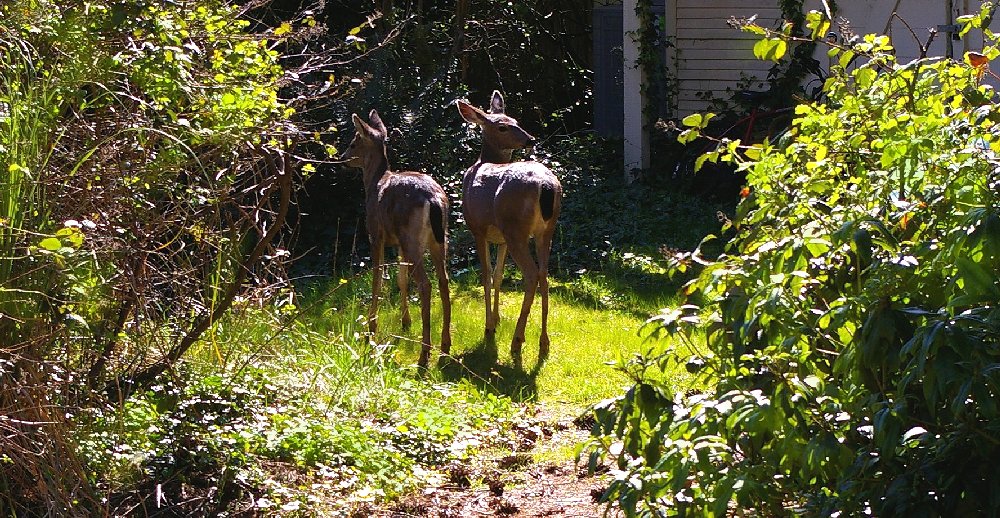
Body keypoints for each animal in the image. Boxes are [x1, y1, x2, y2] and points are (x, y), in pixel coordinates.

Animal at [344, 110, 454, 370]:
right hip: (438, 239)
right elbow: (400, 280)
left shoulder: (376, 235)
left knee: (426, 284)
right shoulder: (398, 245)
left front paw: (371, 328)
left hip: (412, 238)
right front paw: (405, 321)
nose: (343, 158)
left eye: (354, 142)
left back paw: (424, 354)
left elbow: (378, 279)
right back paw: (445, 346)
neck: (374, 184)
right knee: (444, 280)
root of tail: (434, 200)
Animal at [458, 91, 564, 360]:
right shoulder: (501, 239)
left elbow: (486, 275)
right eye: (503, 126)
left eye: (516, 121)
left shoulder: (478, 228)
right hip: (546, 230)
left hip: (516, 228)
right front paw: (495, 318)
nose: (530, 138)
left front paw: (488, 326)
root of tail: (547, 186)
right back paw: (544, 342)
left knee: (532, 274)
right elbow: (498, 276)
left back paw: (517, 339)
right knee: (544, 274)